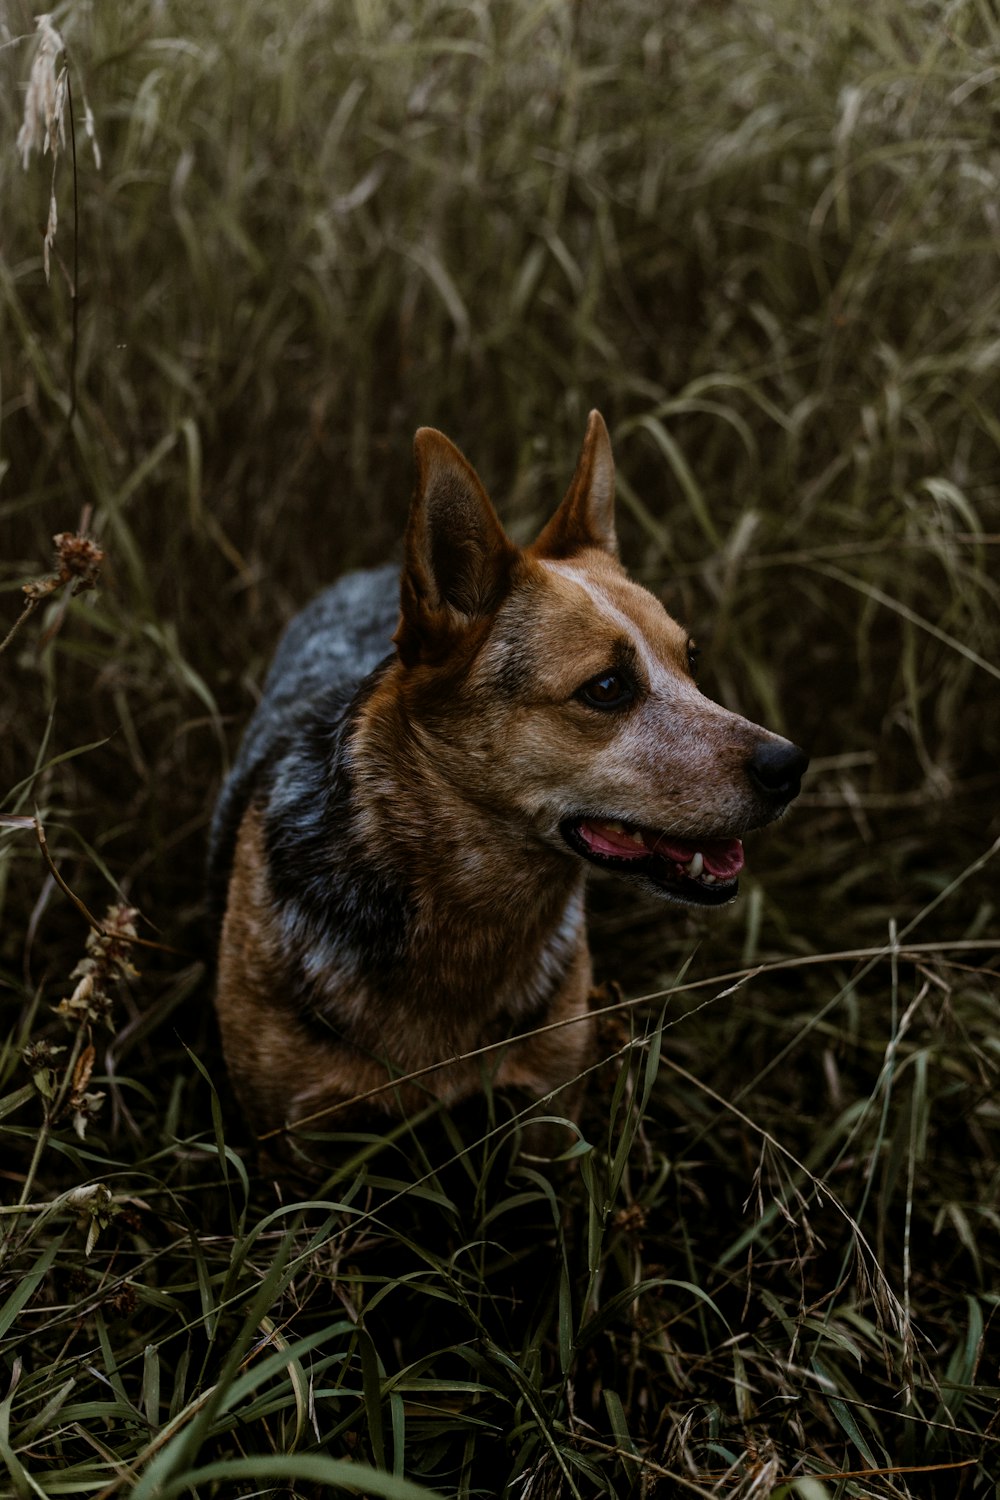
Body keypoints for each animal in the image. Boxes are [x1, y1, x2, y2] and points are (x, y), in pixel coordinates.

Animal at [206, 411, 809, 1158]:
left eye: (690, 661)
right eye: (606, 688)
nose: (790, 765)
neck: (468, 910)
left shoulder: (546, 1113)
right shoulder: (290, 1137)